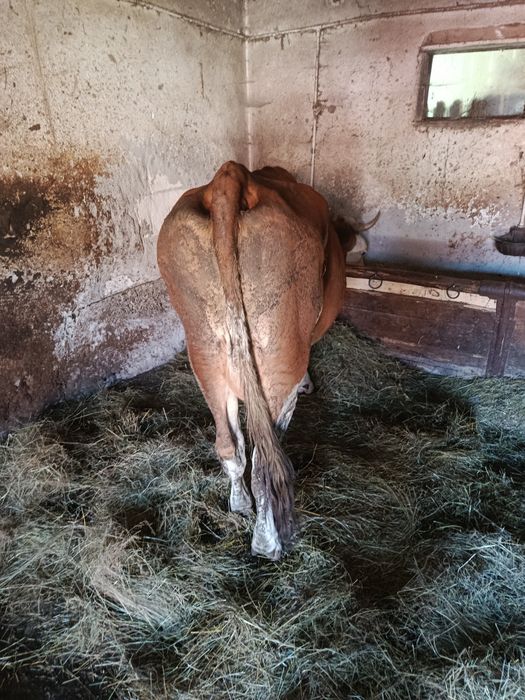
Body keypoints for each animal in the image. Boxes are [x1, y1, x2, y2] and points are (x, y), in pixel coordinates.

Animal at [157, 161, 377, 560]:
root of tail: (230, 177)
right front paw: (307, 386)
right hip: (279, 355)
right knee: (265, 463)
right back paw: (267, 542)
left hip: (205, 352)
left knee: (229, 445)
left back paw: (239, 507)